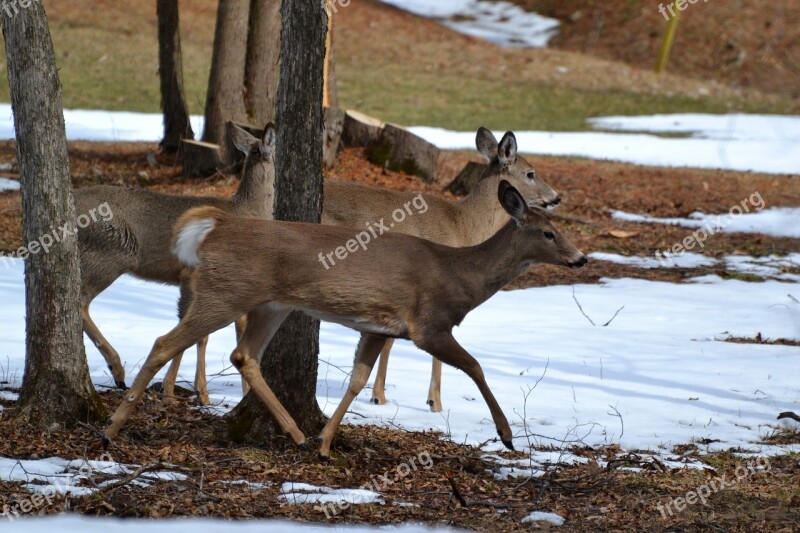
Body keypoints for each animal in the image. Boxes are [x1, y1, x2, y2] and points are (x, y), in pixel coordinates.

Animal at [103, 179, 584, 458]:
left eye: (561, 230)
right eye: (548, 233)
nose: (580, 258)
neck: (459, 275)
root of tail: (214, 226)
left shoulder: (378, 327)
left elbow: (357, 379)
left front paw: (325, 443)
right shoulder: (428, 324)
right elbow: (477, 367)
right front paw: (506, 434)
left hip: (271, 303)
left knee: (244, 356)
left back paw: (298, 436)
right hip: (227, 292)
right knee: (165, 342)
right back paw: (112, 428)